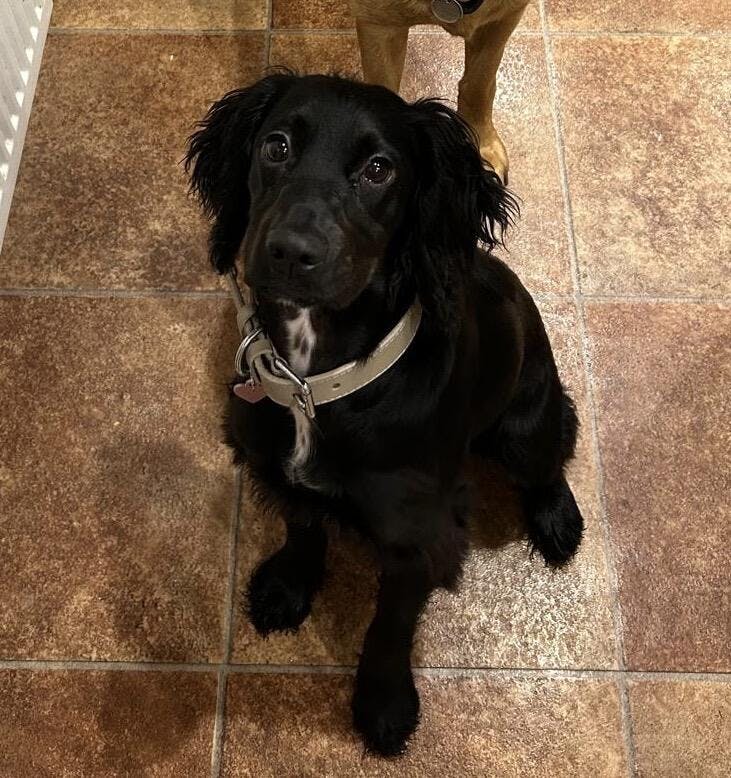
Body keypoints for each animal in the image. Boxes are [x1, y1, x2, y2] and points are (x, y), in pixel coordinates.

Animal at [186, 73, 583, 756]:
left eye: (379, 169)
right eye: (276, 146)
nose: (290, 252)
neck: (314, 381)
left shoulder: (416, 531)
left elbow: (390, 625)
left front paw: (384, 704)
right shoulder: (278, 469)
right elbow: (302, 524)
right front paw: (289, 585)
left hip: (525, 418)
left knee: (549, 457)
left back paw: (558, 519)